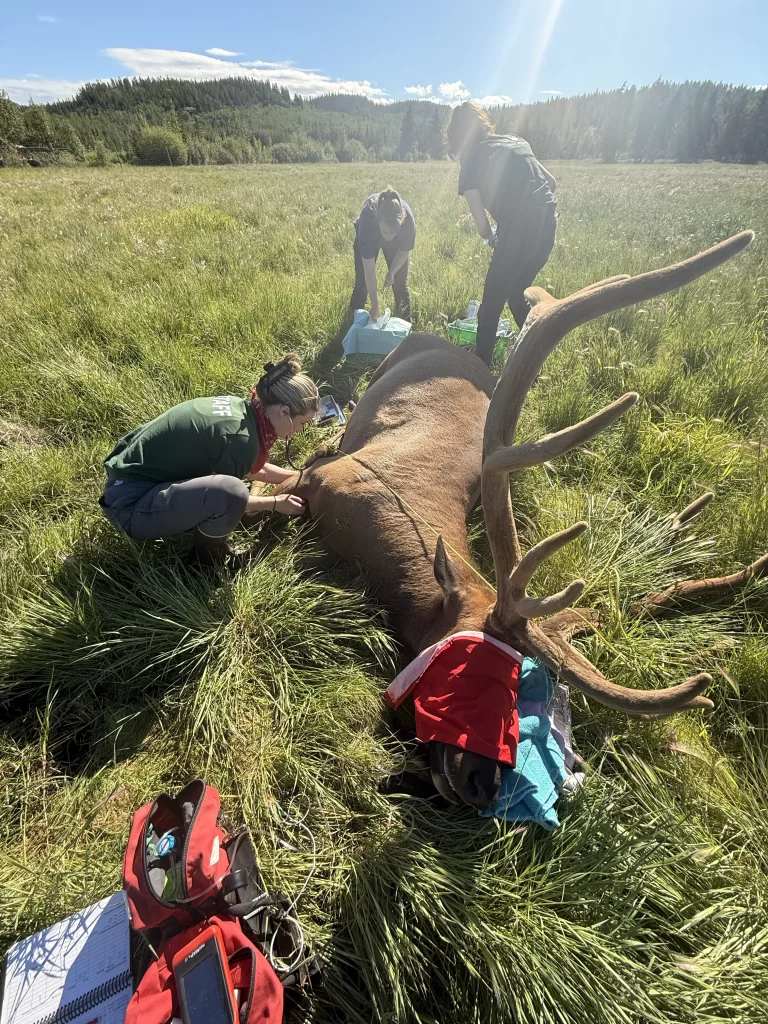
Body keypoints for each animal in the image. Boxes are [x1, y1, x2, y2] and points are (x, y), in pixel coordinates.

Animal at [275, 230, 765, 810]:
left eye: (524, 683)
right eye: (474, 662)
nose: (483, 783)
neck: (378, 534)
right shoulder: (317, 479)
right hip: (381, 367)